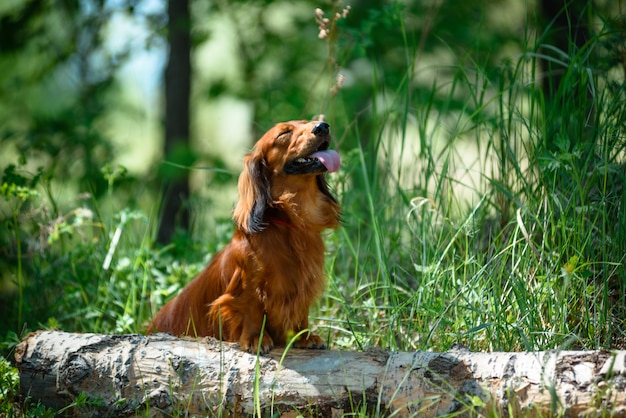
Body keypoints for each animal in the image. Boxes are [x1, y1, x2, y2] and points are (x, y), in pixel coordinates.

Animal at [148, 121, 338, 352]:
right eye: (284, 133)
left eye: (308, 121)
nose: (323, 126)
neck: (291, 224)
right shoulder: (248, 284)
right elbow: (252, 310)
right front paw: (256, 339)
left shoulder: (304, 282)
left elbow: (301, 310)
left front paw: (302, 336)